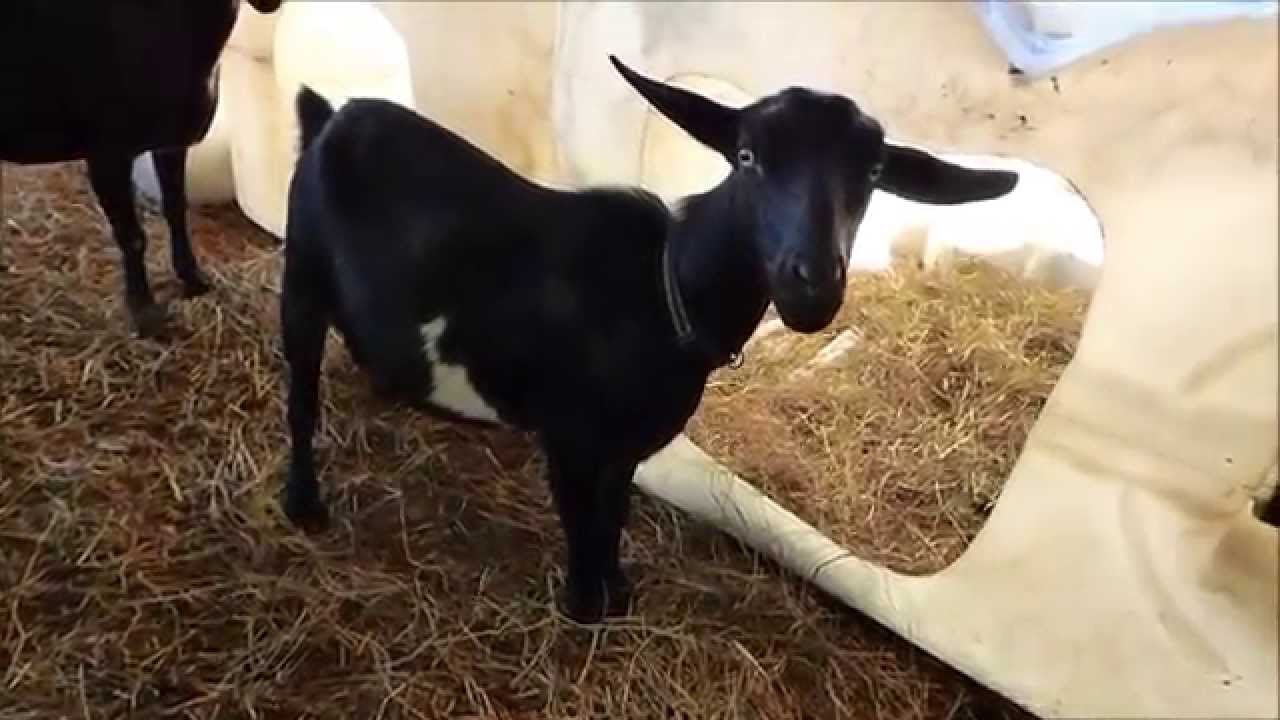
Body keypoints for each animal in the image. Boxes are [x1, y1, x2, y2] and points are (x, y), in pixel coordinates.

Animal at [0, 0, 284, 338]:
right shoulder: (107, 154)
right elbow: (132, 236)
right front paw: (145, 314)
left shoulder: (171, 141)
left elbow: (175, 209)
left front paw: (193, 279)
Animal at [279, 56, 1019, 625]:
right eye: (746, 156)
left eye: (870, 174)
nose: (811, 283)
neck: (667, 289)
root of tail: (330, 113)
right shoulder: (571, 438)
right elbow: (583, 520)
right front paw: (586, 609)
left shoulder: (627, 448)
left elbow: (614, 516)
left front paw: (619, 592)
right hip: (302, 277)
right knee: (301, 396)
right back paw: (304, 506)